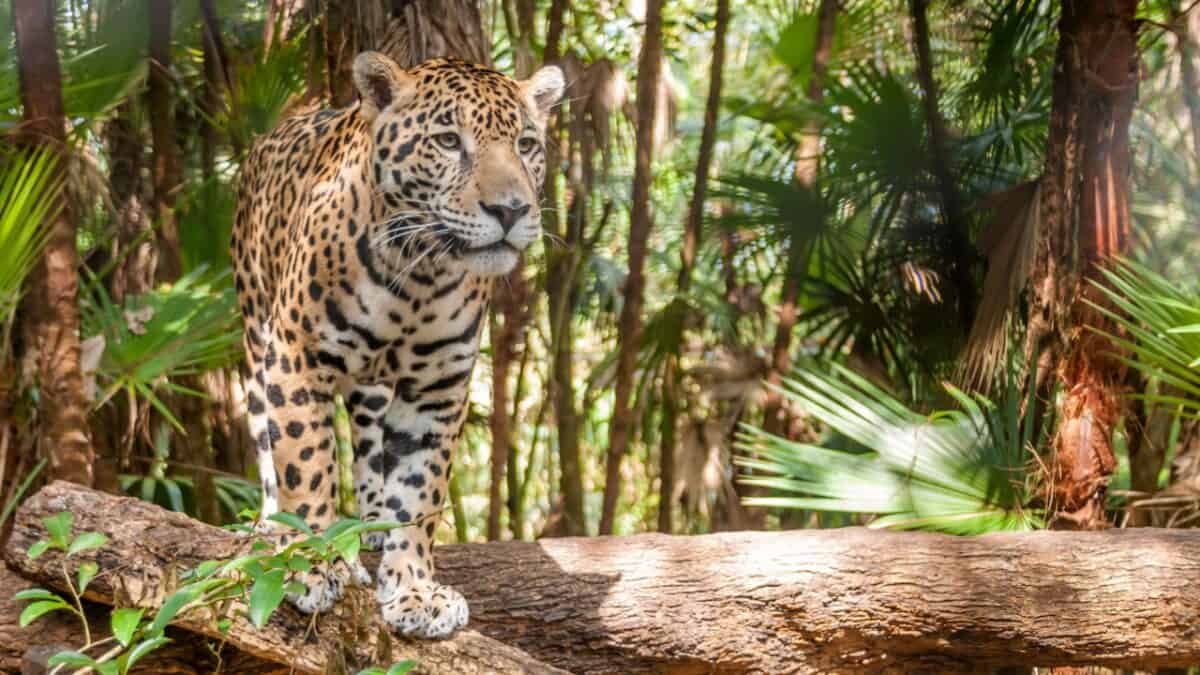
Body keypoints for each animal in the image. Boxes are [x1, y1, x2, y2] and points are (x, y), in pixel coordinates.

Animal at [231, 51, 563, 639]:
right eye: (449, 141)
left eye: (526, 144)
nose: (511, 211)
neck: (419, 277)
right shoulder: (296, 357)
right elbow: (306, 463)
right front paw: (310, 564)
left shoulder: (438, 388)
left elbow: (418, 488)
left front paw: (414, 588)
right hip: (255, 338)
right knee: (268, 445)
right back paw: (273, 527)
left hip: (371, 386)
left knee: (367, 444)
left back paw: (370, 525)